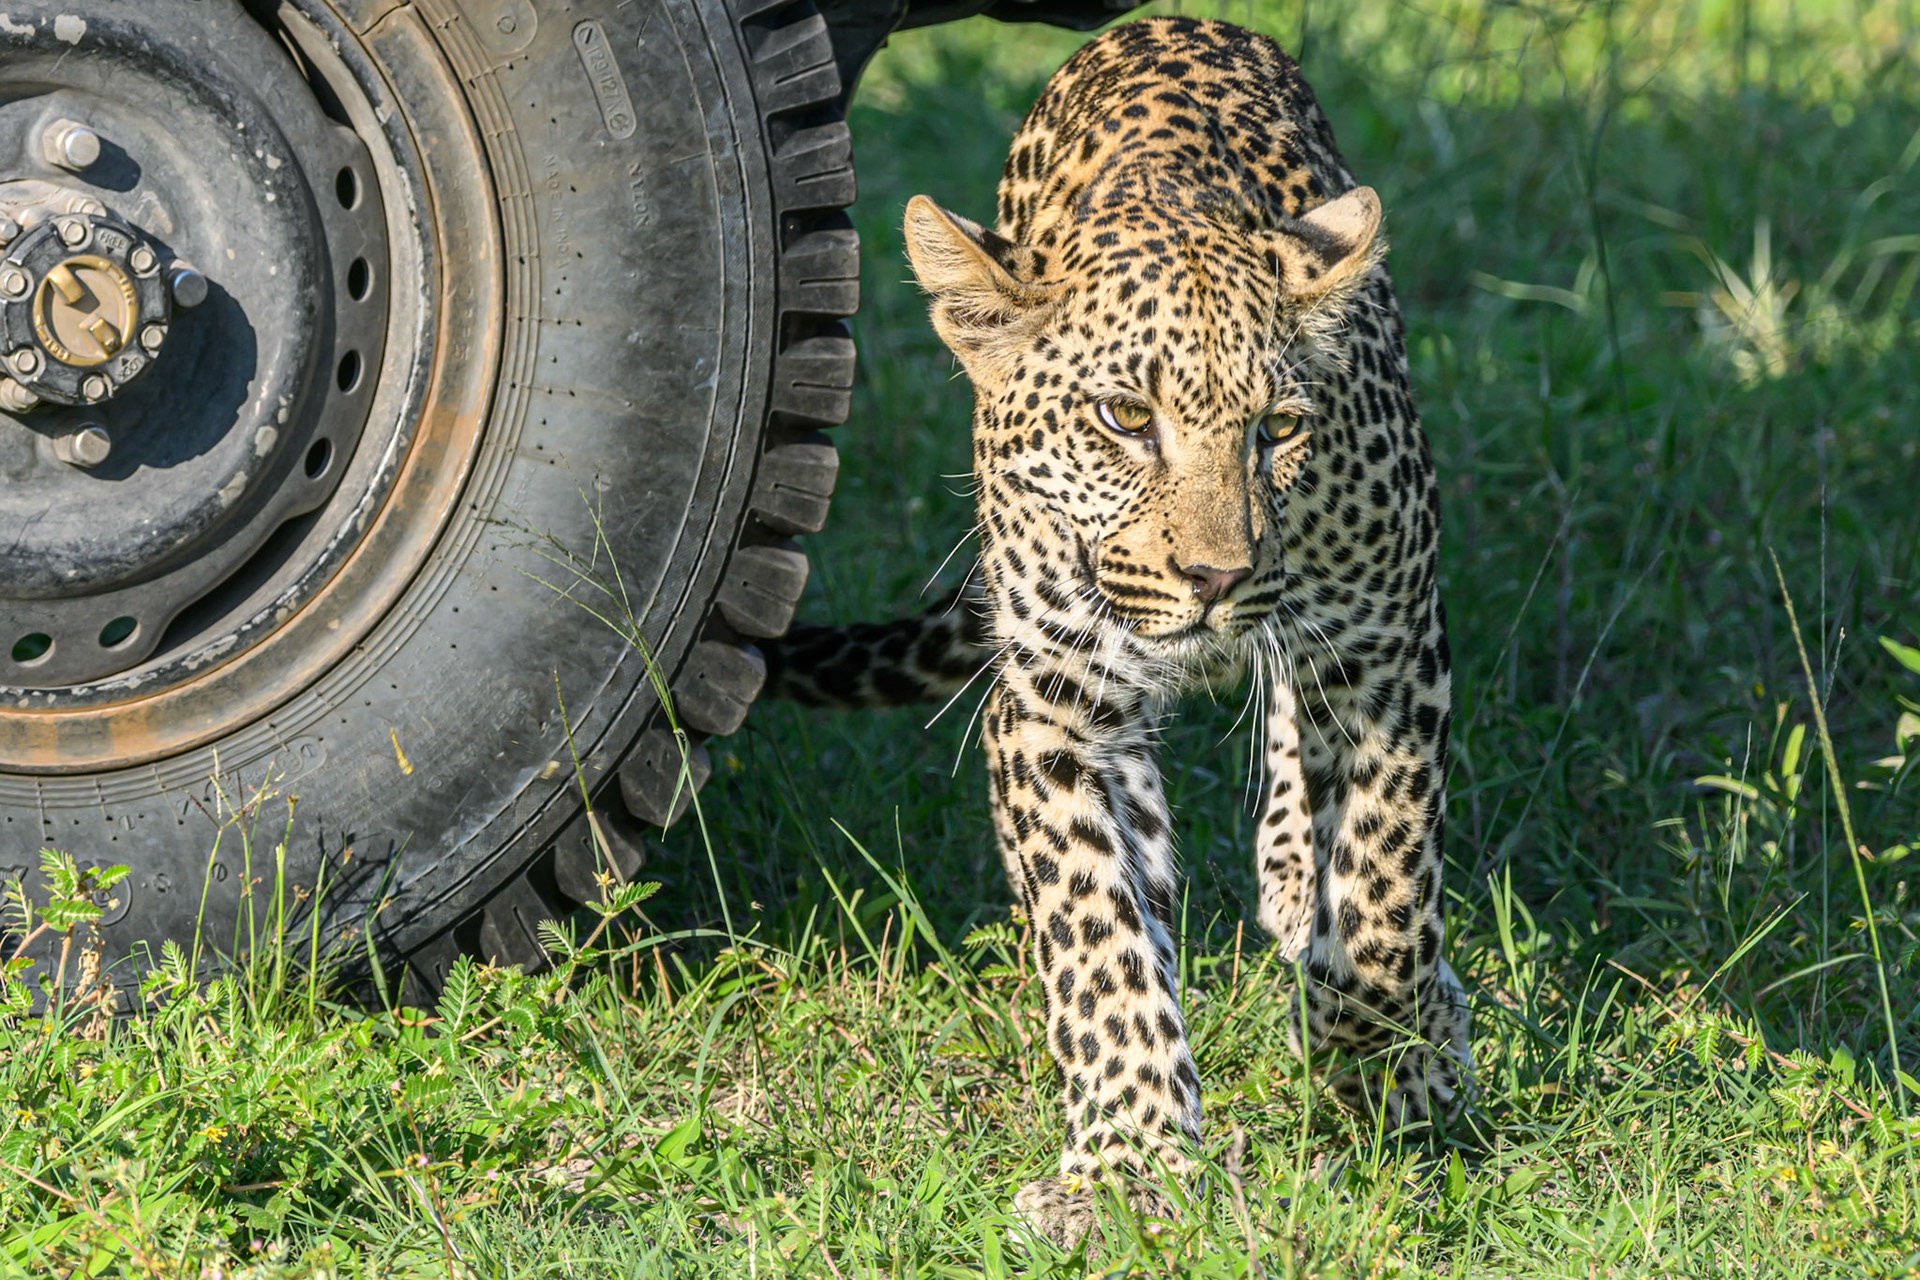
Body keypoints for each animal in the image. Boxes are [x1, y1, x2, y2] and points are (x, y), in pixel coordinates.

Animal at [763, 15, 1473, 1246]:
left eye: (1278, 428)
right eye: (1123, 418)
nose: (1216, 576)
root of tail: (1167, 20)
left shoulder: (1387, 657)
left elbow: (1387, 887)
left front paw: (1385, 1068)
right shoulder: (1050, 714)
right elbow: (1099, 936)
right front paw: (1130, 1162)